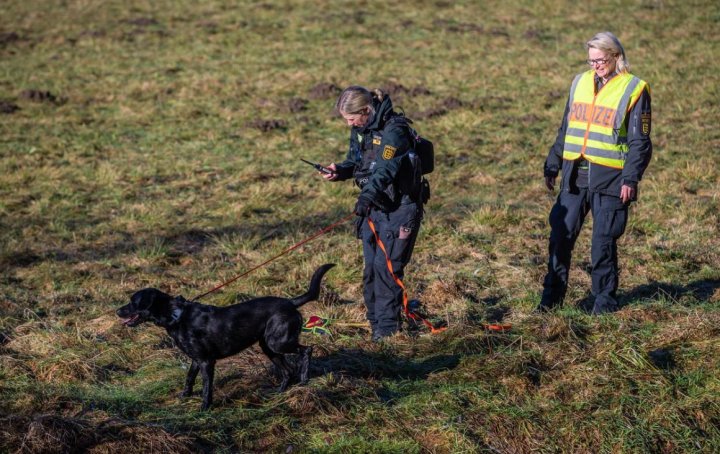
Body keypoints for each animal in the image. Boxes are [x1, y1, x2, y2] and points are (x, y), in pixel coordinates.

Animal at [116, 264, 334, 410]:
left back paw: (304, 380)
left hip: (278, 343)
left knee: (307, 350)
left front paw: (204, 407)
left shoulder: (206, 361)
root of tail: (290, 302)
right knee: (288, 371)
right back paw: (278, 393)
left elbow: (206, 387)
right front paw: (185, 396)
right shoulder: (196, 359)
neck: (175, 316)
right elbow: (189, 378)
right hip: (268, 346)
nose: (117, 311)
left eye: (133, 302)